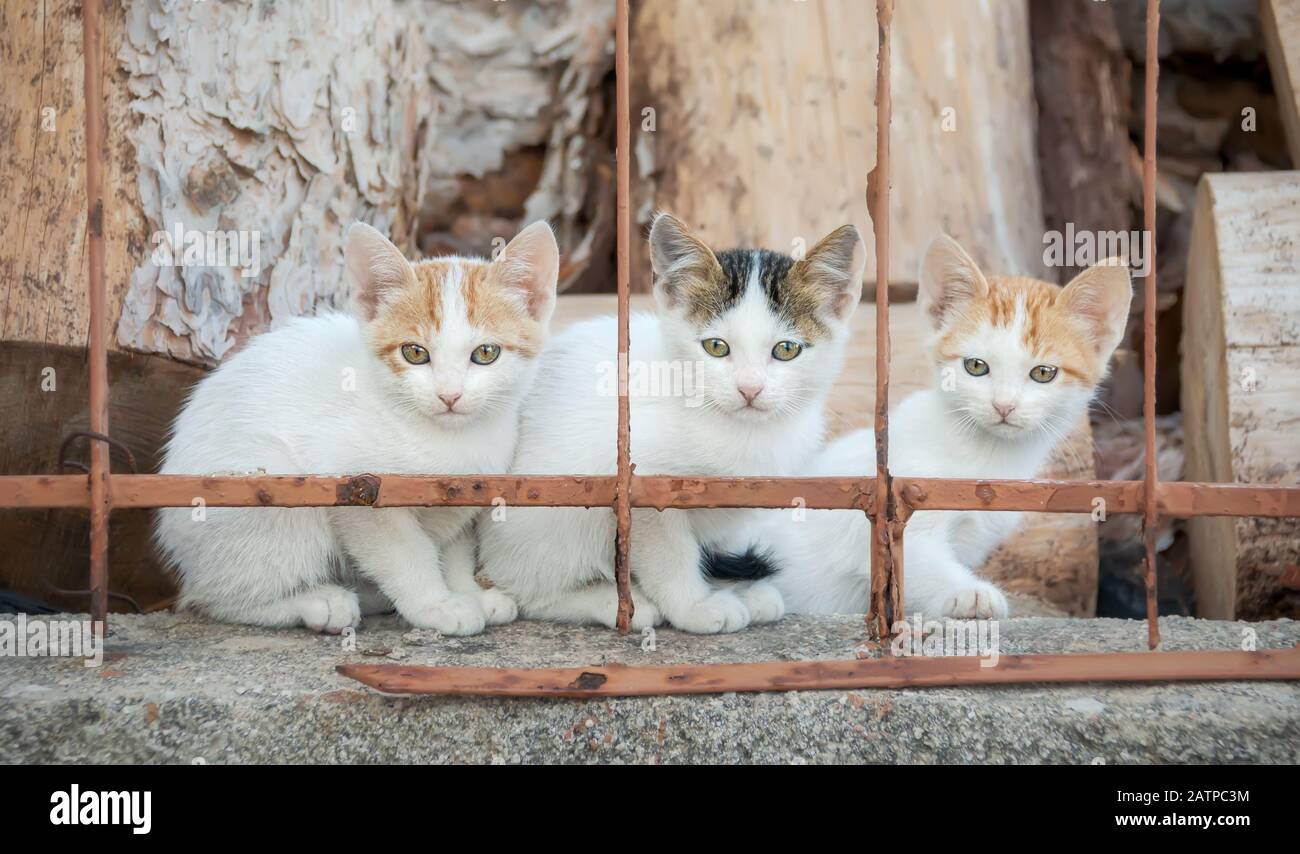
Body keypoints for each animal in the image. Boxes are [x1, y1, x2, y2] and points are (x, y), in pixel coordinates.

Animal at [153, 219, 559, 631]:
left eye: (486, 353)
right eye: (415, 353)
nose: (449, 395)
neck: (450, 441)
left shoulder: (464, 494)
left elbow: (455, 548)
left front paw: (468, 592)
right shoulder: (354, 486)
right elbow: (404, 552)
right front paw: (435, 605)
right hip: (269, 489)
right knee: (211, 598)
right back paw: (319, 602)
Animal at [478, 211, 863, 631]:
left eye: (787, 350)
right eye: (716, 347)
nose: (749, 389)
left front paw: (735, 589)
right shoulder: (640, 482)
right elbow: (669, 552)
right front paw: (694, 606)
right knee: (528, 587)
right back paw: (611, 601)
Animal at [759, 232, 1128, 618]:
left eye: (1044, 373)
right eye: (976, 366)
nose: (1004, 405)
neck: (987, 456)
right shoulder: (889, 504)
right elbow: (915, 557)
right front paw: (968, 593)